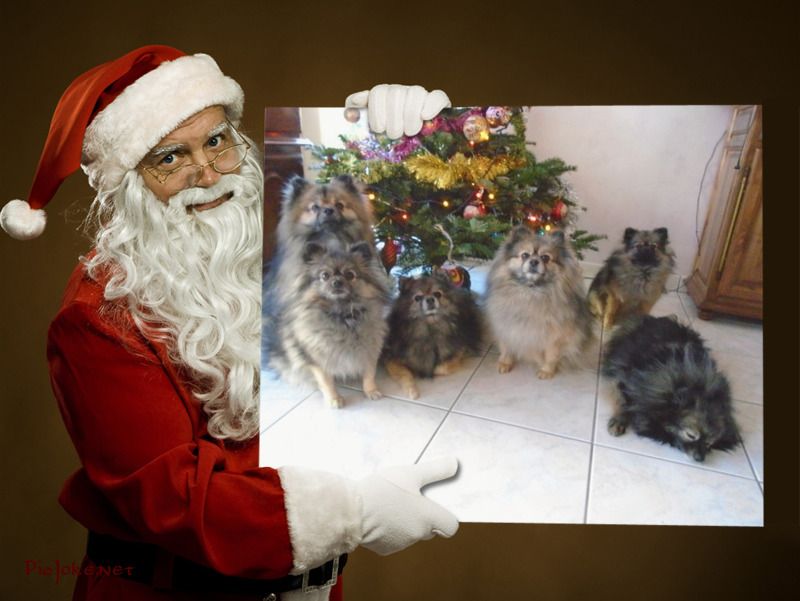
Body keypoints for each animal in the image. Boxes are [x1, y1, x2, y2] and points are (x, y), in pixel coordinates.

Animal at [268, 240, 394, 408]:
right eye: (324, 275)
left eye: (350, 275)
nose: (337, 281)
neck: (342, 315)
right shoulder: (318, 359)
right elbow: (326, 381)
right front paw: (334, 399)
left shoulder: (369, 349)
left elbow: (369, 373)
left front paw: (371, 391)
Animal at [482, 227, 592, 378]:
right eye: (525, 255)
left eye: (545, 257)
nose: (534, 261)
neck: (531, 291)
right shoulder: (506, 327)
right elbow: (506, 347)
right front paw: (505, 363)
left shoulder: (555, 337)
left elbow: (551, 356)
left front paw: (546, 371)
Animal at [604, 312, 740, 462]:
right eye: (691, 435)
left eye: (709, 443)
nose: (700, 459)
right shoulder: (628, 382)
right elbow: (624, 403)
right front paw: (619, 421)